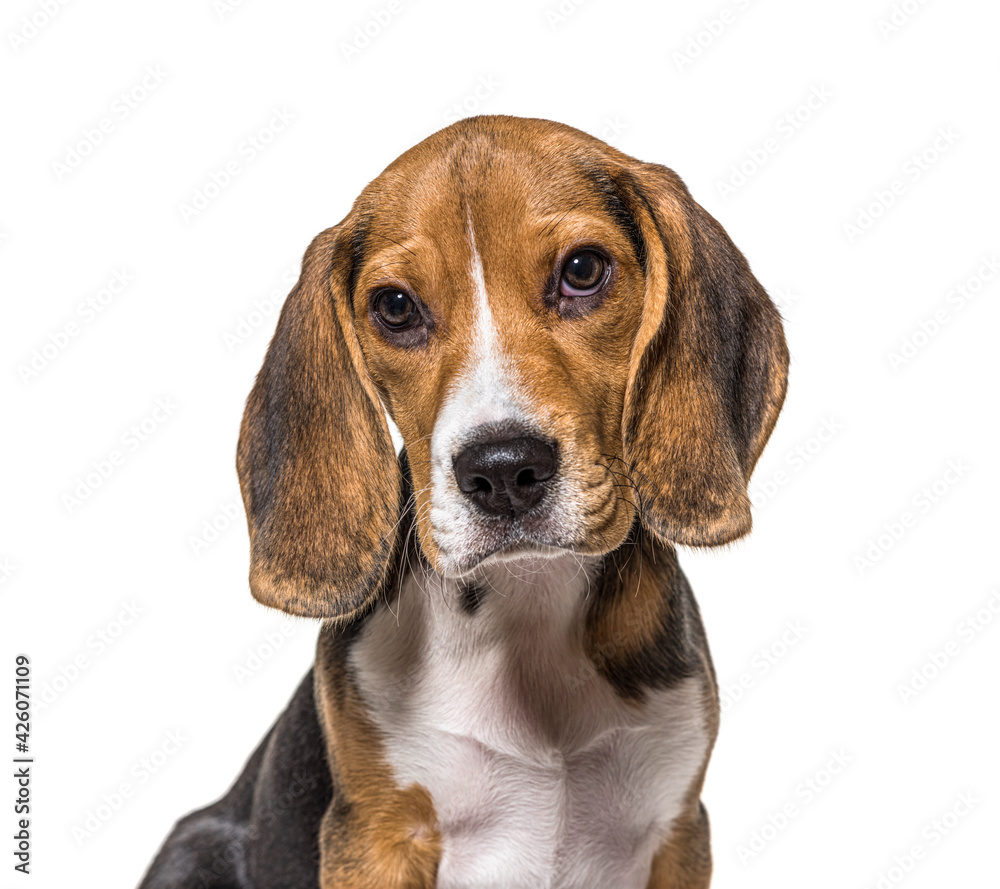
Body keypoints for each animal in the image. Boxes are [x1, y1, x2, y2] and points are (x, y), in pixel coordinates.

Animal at [139, 114, 788, 884]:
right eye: (395, 307)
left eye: (583, 270)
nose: (503, 470)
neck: (528, 604)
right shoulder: (376, 839)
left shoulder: (678, 830)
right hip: (197, 845)